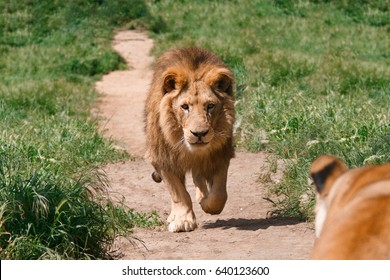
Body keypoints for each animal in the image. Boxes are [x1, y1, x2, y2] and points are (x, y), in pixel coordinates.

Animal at [144, 47, 233, 233]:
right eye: (185, 107)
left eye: (210, 106)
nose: (199, 133)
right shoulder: (164, 158)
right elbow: (179, 194)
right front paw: (183, 221)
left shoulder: (221, 154)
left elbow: (219, 194)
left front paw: (206, 203)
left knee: (199, 178)